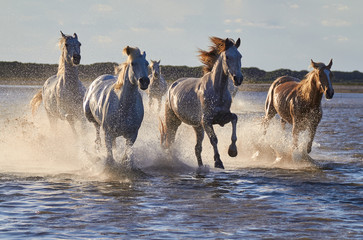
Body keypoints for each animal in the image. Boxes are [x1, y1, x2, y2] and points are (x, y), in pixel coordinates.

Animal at [160, 37, 243, 169]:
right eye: (227, 57)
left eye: (240, 56)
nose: (238, 79)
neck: (217, 90)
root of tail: (172, 86)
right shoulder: (206, 121)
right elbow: (214, 139)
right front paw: (218, 162)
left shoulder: (222, 117)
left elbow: (235, 119)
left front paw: (232, 151)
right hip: (173, 120)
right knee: (170, 141)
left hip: (197, 127)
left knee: (197, 148)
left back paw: (200, 166)